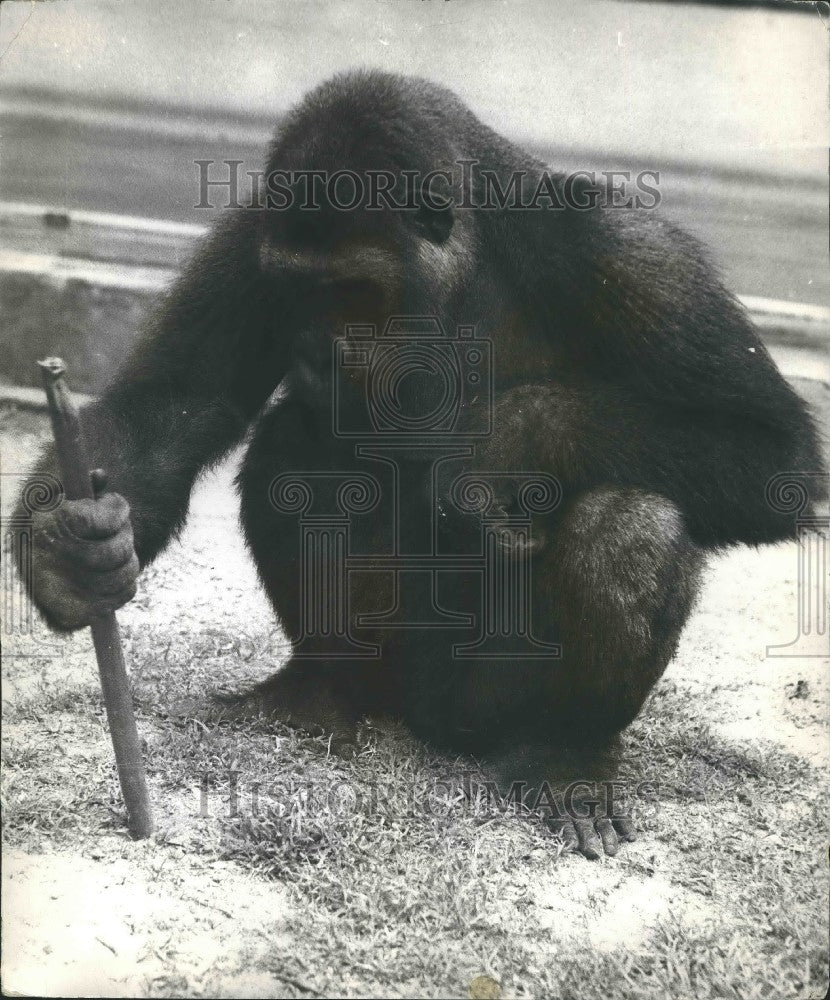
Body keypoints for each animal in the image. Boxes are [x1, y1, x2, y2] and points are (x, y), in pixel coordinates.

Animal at [18, 69, 824, 858]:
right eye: (296, 290)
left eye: (351, 290)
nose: (317, 350)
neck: (470, 262)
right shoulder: (254, 233)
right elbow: (171, 400)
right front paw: (68, 554)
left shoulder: (634, 255)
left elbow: (770, 455)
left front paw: (497, 447)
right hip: (385, 671)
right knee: (298, 450)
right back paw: (321, 683)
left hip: (480, 706)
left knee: (631, 525)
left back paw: (568, 749)